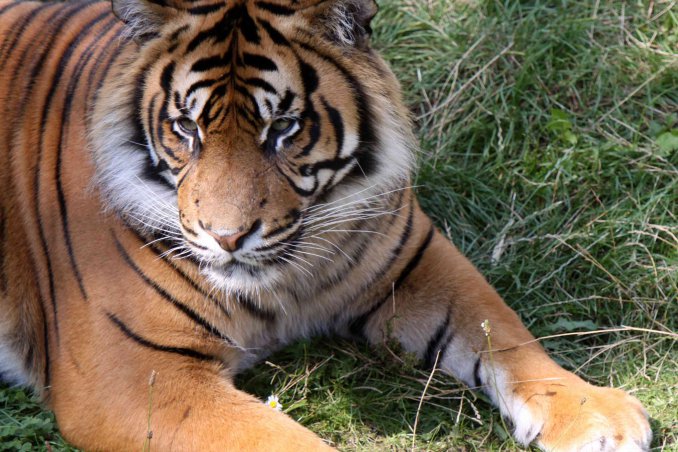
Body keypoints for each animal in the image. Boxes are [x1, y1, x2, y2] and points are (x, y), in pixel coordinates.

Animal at [0, 0, 652, 450]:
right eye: (187, 129)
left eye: (284, 128)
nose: (227, 237)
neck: (286, 281)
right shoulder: (133, 374)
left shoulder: (414, 257)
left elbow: (505, 330)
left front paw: (596, 415)